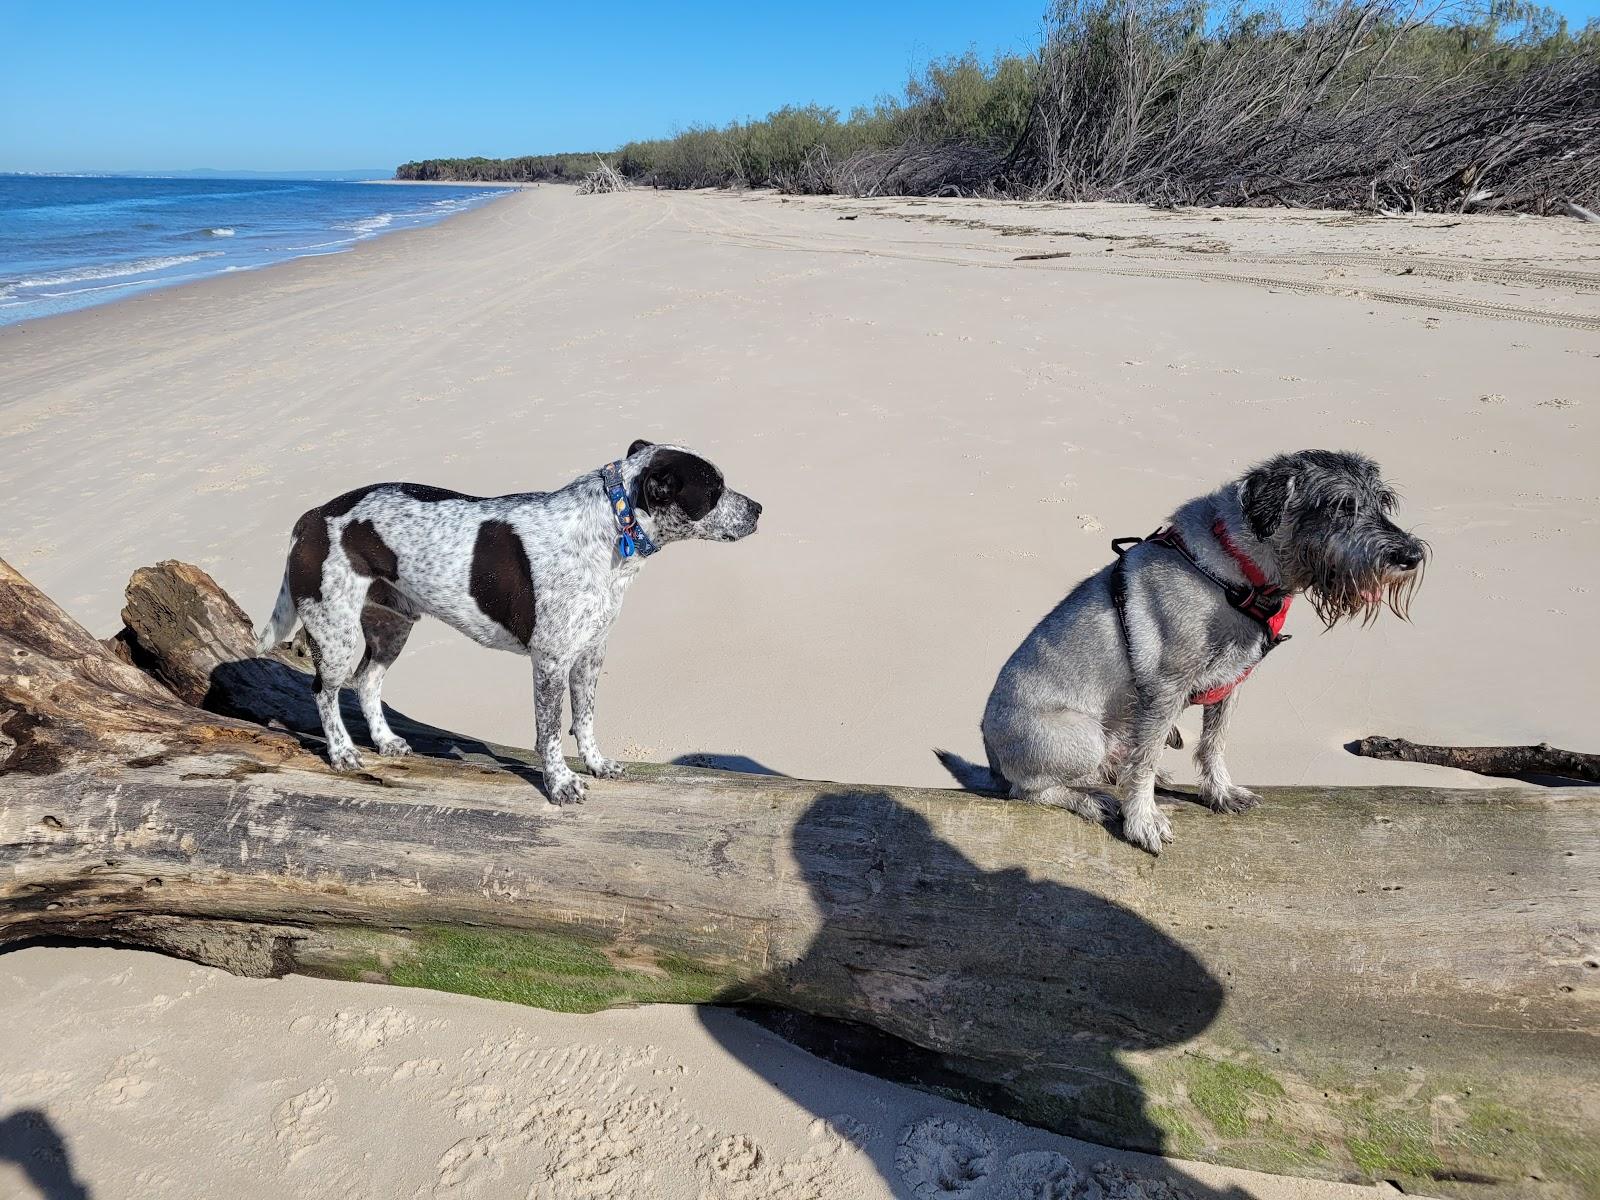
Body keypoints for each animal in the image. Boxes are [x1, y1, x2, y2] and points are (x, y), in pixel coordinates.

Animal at [256, 438, 761, 800]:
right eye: (714, 490)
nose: (759, 508)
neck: (611, 528)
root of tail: (313, 516)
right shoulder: (551, 662)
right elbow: (550, 733)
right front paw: (560, 784)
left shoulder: (590, 655)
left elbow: (586, 720)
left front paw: (597, 764)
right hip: (335, 633)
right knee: (324, 692)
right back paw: (342, 752)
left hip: (391, 627)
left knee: (367, 682)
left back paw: (384, 741)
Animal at [934, 451, 1427, 857]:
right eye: (1341, 506)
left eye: (1383, 502)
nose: (1411, 555)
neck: (1235, 569)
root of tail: (991, 759)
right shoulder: (1164, 690)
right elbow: (1147, 758)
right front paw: (1143, 821)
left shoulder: (1227, 686)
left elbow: (1212, 744)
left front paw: (1220, 792)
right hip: (1080, 735)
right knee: (1031, 790)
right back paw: (1091, 799)